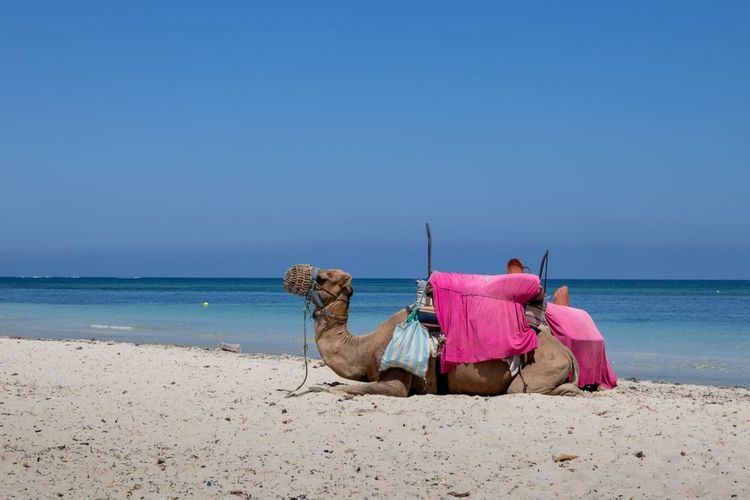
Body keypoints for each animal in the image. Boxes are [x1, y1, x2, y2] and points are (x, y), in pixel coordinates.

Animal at [283, 264, 581, 397]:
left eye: (323, 279)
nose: (289, 274)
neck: (363, 348)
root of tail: (566, 351)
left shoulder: (396, 379)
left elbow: (358, 387)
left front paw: (317, 388)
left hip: (538, 369)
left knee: (524, 389)